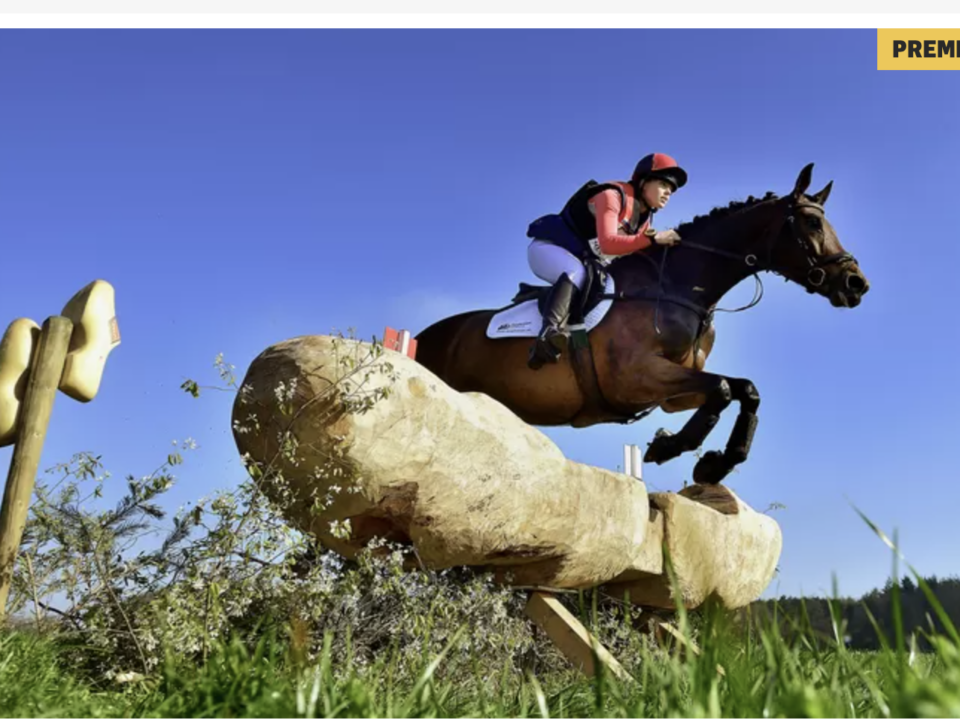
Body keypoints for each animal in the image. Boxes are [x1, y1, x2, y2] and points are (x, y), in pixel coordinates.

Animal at [412, 166, 872, 486]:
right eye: (812, 223)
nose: (856, 284)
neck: (679, 286)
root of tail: (421, 337)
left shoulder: (673, 390)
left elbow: (743, 389)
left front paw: (712, 464)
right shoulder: (634, 378)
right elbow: (724, 390)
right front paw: (671, 447)